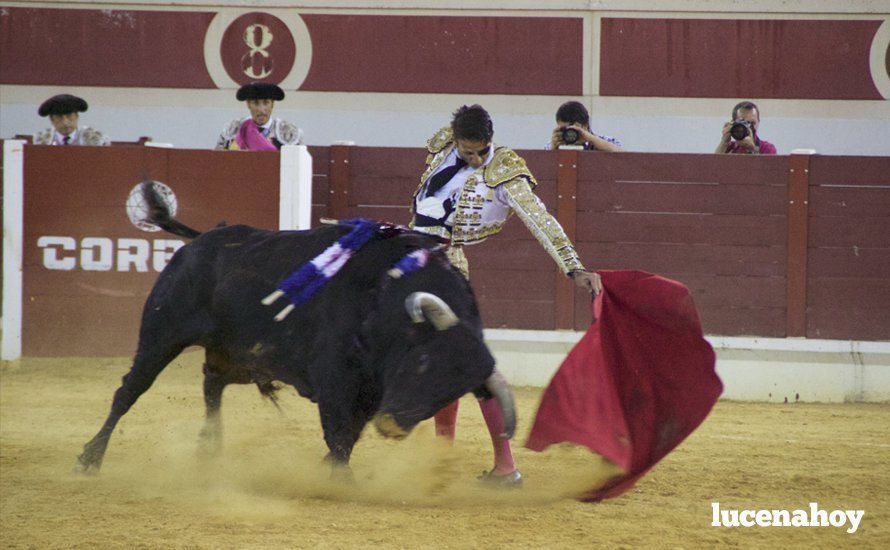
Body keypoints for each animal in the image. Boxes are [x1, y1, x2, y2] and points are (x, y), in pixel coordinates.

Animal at [81, 202, 520, 474]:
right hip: (162, 334)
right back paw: (90, 458)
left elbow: (348, 437)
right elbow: (339, 434)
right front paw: (340, 481)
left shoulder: (369, 392)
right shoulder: (336, 380)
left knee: (212, 384)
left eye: (451, 393)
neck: (386, 297)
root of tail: (204, 240)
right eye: (423, 362)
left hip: (242, 355)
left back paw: (210, 450)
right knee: (129, 391)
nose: (394, 426)